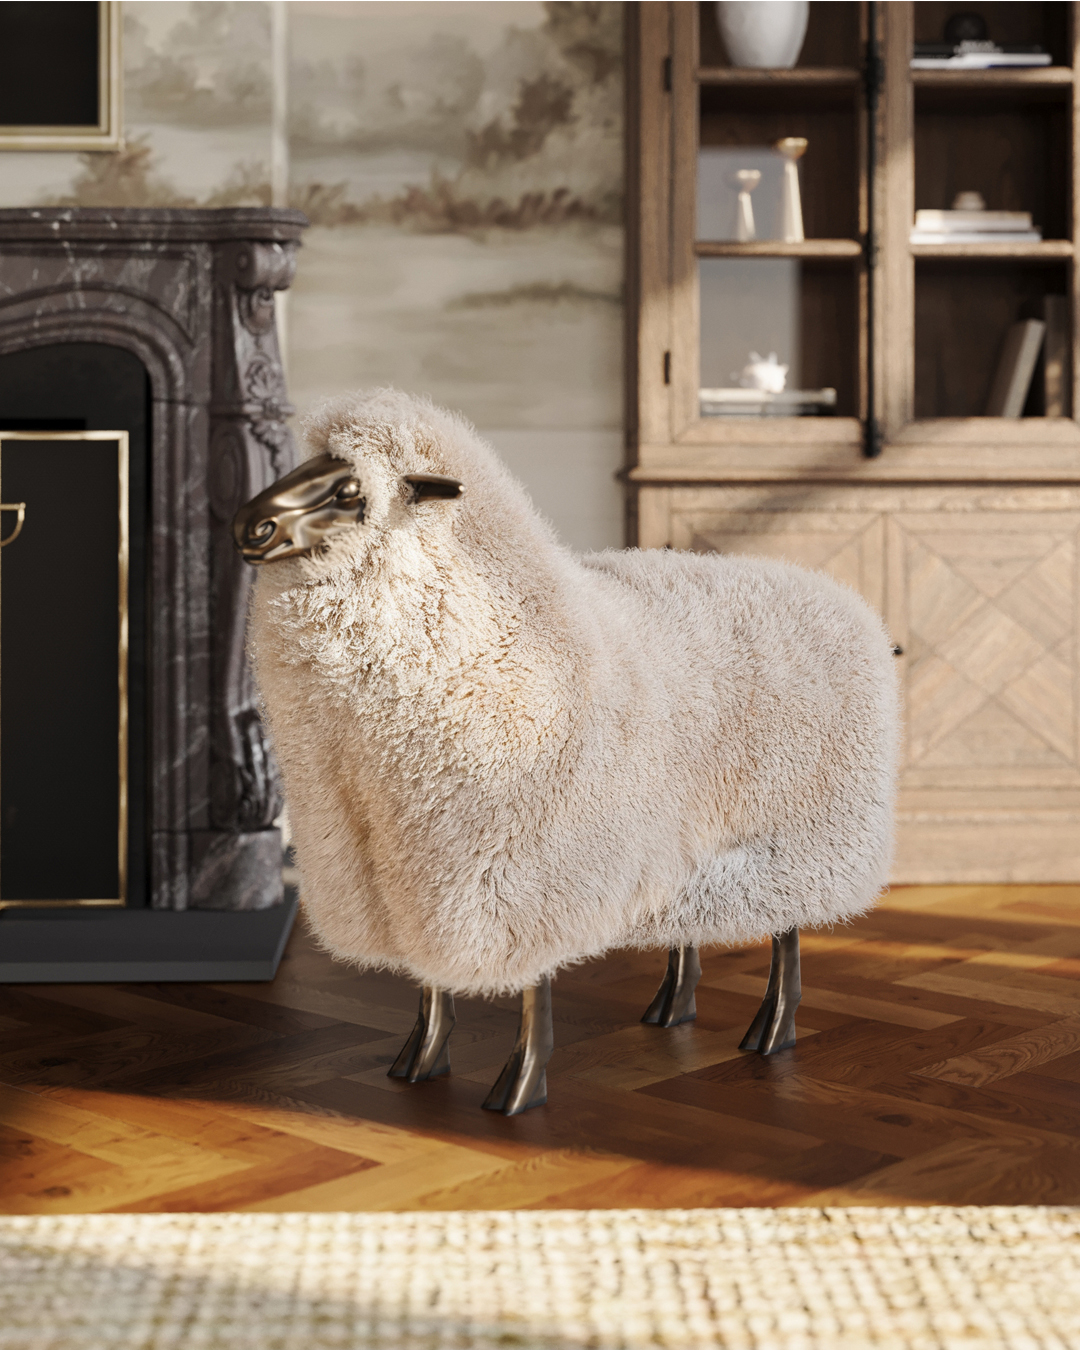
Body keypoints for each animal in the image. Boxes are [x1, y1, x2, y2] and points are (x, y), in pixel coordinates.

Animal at [234, 389, 901, 1115]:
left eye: (350, 490)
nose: (249, 526)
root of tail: (846, 602)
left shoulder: (514, 869)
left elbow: (531, 991)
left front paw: (520, 1086)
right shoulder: (403, 865)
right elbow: (430, 984)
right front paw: (418, 1063)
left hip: (802, 839)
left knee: (788, 937)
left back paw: (773, 1030)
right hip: (687, 844)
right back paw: (672, 1007)